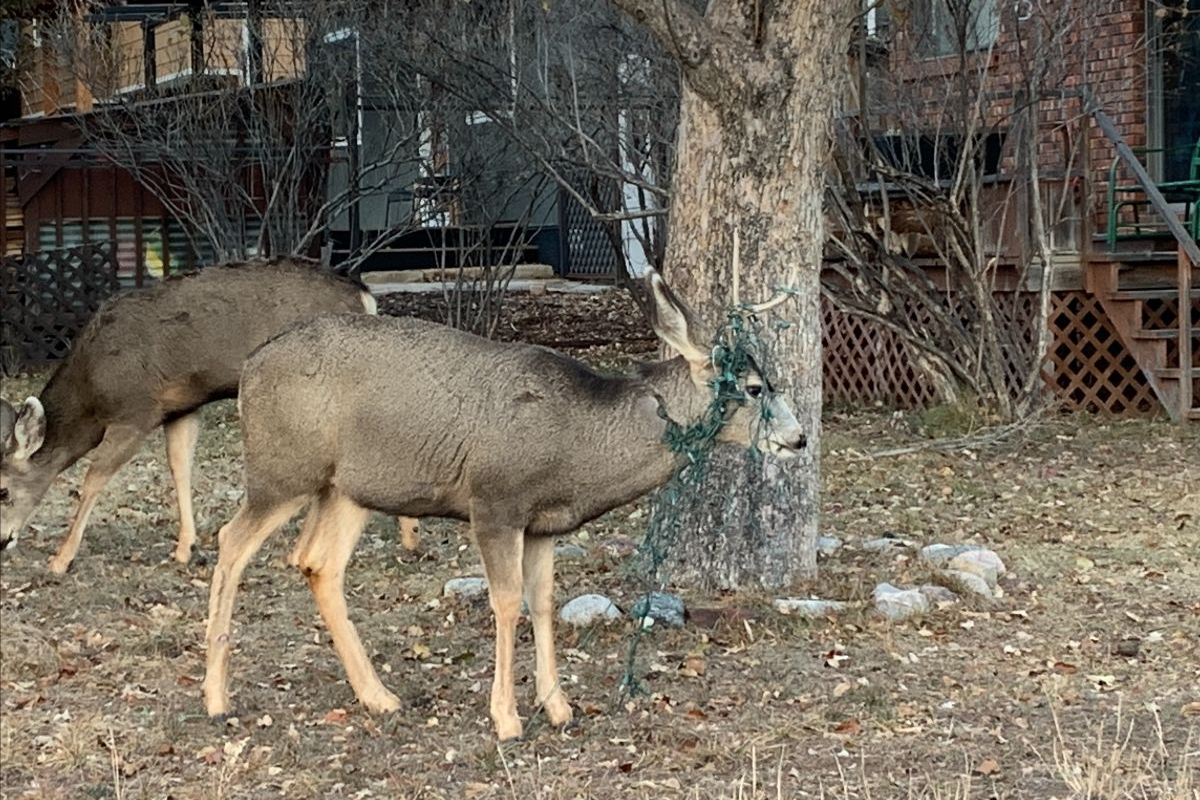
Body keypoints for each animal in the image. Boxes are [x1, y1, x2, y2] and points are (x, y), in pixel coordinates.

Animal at [0, 260, 422, 573]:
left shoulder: (136, 410)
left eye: (2, 489)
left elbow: (92, 479)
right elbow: (180, 466)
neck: (91, 390)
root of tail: (364, 296)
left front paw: (61, 559)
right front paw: (185, 548)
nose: (3, 540)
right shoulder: (181, 406)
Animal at [204, 272, 806, 743]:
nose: (799, 439)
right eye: (755, 388)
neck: (578, 443)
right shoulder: (495, 501)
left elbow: (542, 602)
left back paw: (380, 696)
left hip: (349, 487)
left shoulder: (544, 524)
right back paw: (216, 698)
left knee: (316, 562)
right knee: (231, 542)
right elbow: (507, 602)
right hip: (282, 468)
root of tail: (250, 369)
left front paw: (559, 706)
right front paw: (507, 718)